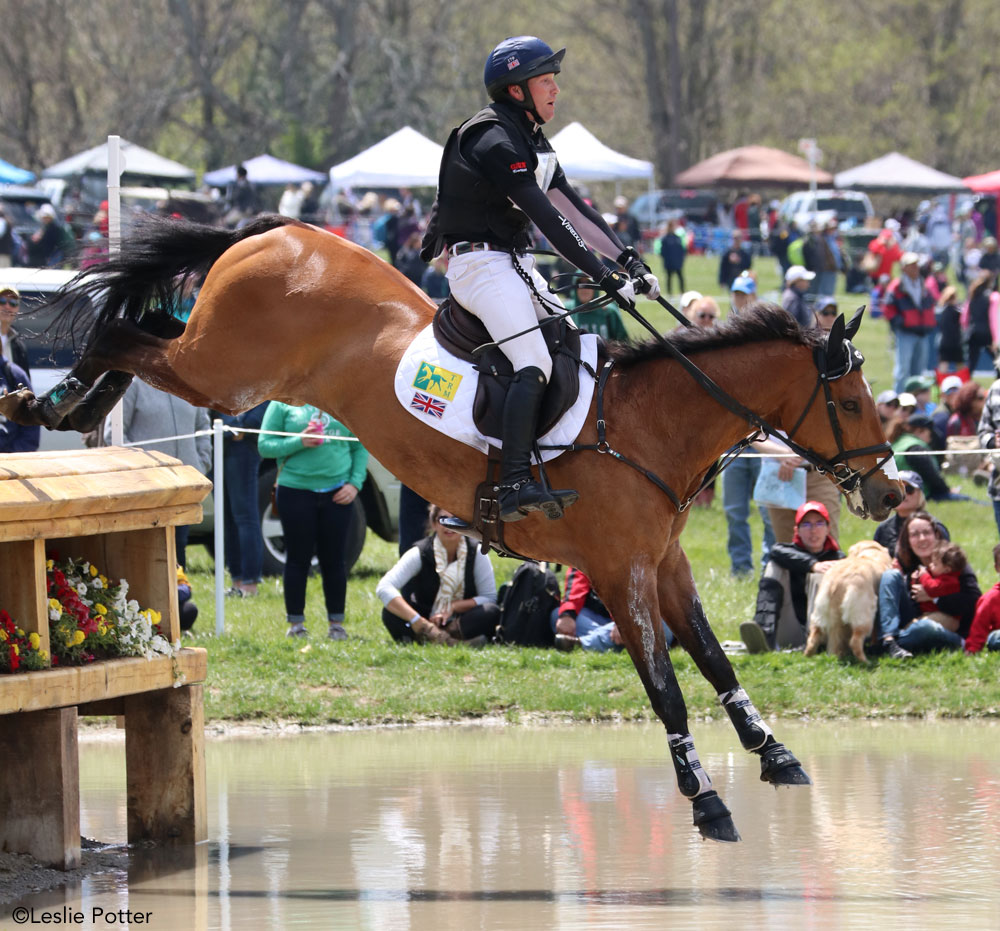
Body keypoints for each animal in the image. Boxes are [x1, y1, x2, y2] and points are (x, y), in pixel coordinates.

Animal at [0, 218, 904, 844]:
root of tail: (271, 230)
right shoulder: (621, 571)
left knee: (143, 329)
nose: (890, 491)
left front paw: (775, 754)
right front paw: (707, 799)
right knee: (129, 332)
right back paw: (52, 402)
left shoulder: (666, 561)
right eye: (849, 399)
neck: (652, 423)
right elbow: (666, 684)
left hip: (220, 367)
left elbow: (715, 660)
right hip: (225, 371)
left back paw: (68, 403)